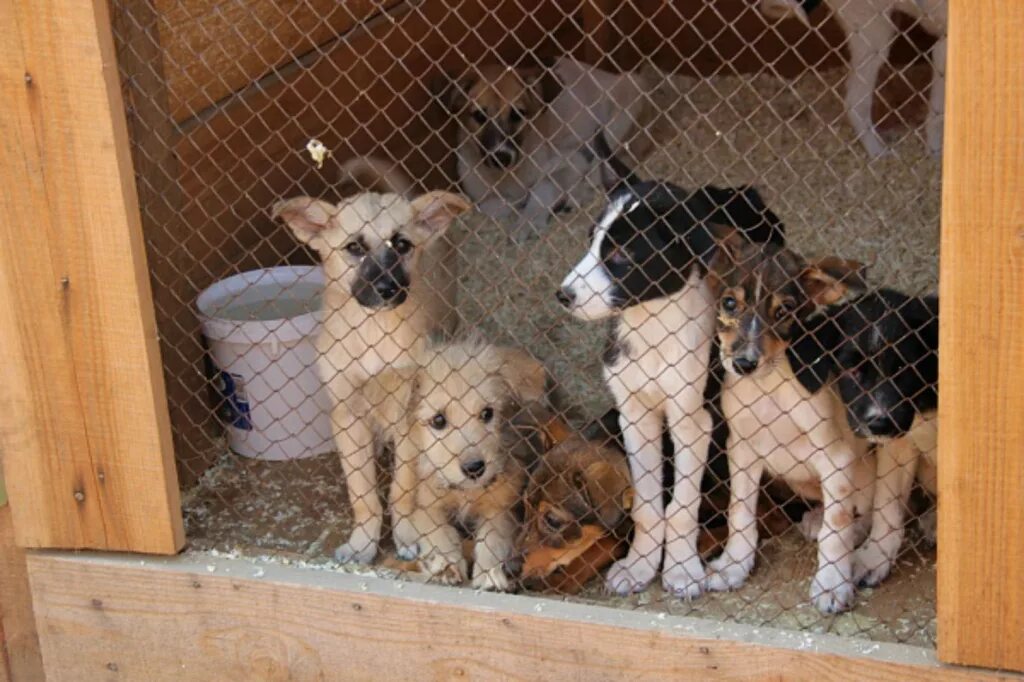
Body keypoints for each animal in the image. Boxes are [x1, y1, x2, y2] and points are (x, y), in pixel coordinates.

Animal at [268, 183, 468, 561]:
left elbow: (402, 488)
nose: (387, 290)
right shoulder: (347, 413)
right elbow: (361, 490)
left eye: (402, 245)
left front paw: (405, 535)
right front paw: (364, 541)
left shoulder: (409, 414)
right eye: (354, 248)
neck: (375, 331)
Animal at [557, 180, 778, 593]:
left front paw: (681, 569)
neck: (653, 327)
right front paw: (639, 566)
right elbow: (647, 504)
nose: (563, 295)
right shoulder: (634, 414)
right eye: (592, 240)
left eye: (623, 254)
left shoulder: (693, 421)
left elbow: (681, 507)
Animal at [704, 233, 880, 610]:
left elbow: (837, 528)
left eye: (783, 311)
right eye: (729, 303)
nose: (744, 364)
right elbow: (740, 512)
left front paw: (832, 584)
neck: (769, 388)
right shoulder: (741, 449)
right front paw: (733, 565)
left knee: (862, 513)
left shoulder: (836, 456)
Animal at [765, 0, 946, 155]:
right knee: (855, 103)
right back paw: (877, 153)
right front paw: (934, 153)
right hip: (873, 33)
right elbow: (937, 116)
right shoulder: (942, 51)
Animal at [786, 286, 937, 585]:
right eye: (852, 370)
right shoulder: (899, 445)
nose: (878, 423)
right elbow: (887, 506)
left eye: (903, 369)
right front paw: (873, 558)